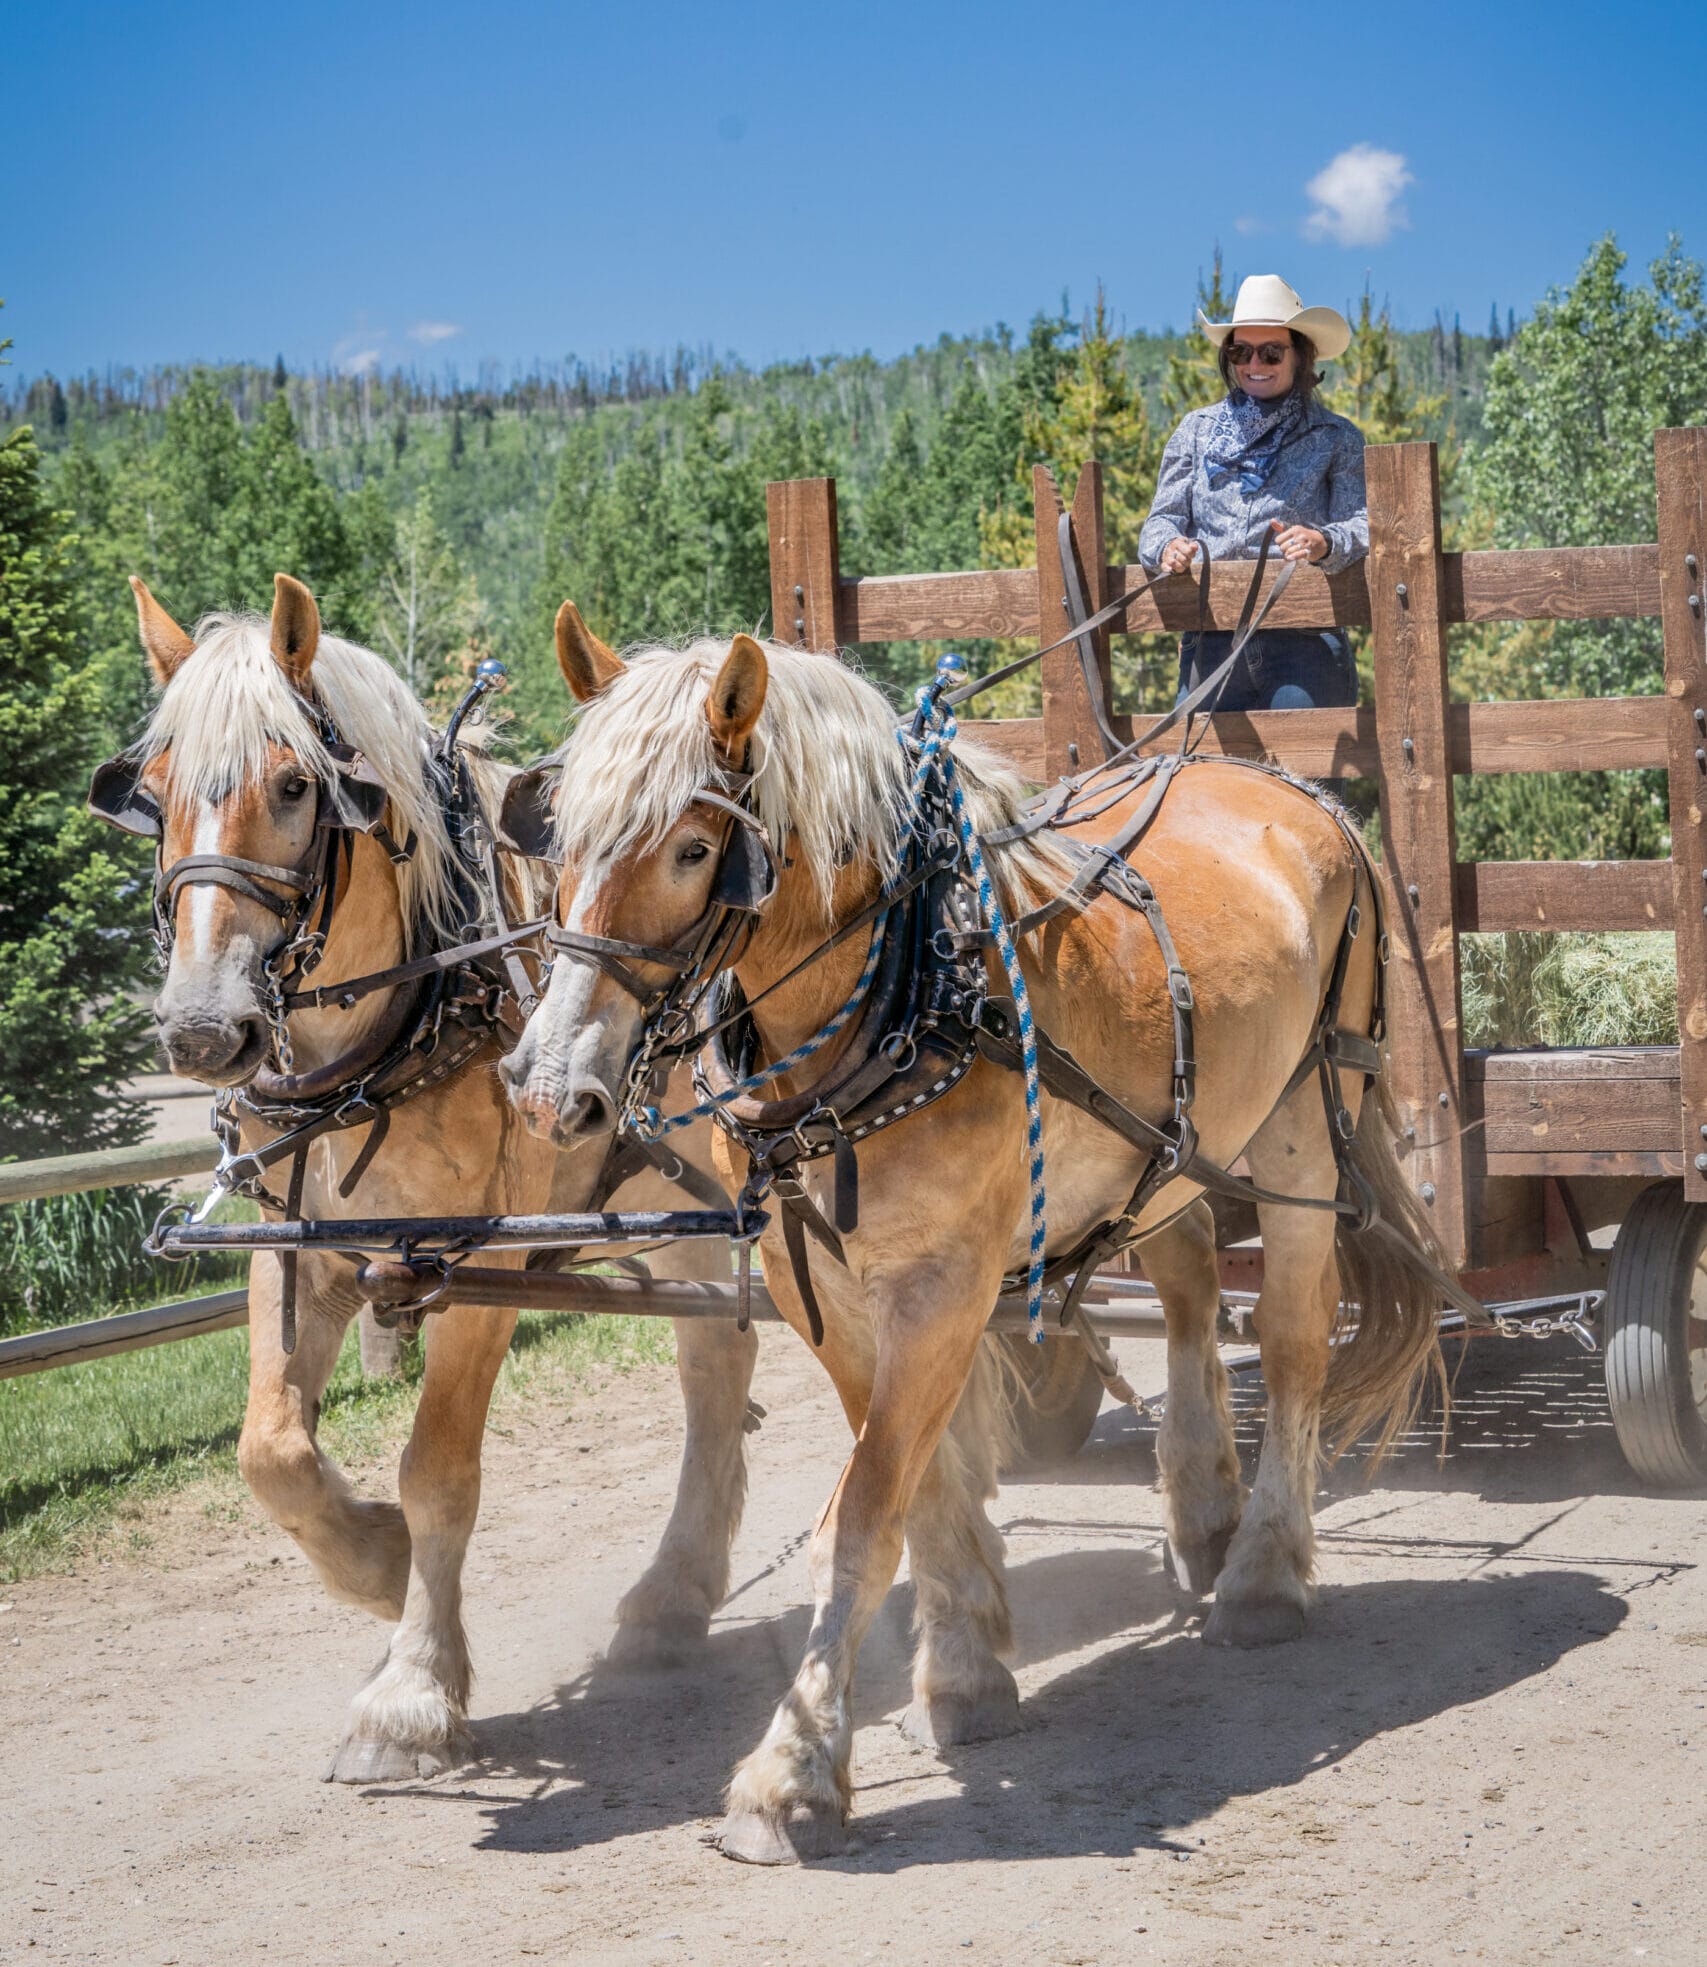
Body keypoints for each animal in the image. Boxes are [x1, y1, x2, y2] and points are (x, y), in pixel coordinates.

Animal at [102, 573, 760, 1781]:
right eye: (154, 793)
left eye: (295, 785)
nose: (204, 1031)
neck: (404, 1021)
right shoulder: (299, 1252)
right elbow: (269, 1448)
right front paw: (377, 1560)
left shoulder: (476, 1260)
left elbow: (438, 1469)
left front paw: (408, 1692)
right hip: (686, 1213)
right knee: (714, 1368)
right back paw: (672, 1595)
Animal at [503, 610, 1447, 1862]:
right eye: (560, 836)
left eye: (696, 850)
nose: (550, 1082)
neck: (910, 993)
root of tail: (1286, 786)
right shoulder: (830, 1292)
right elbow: (922, 1480)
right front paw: (963, 1673)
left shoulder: (945, 1283)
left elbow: (862, 1514)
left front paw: (792, 1768)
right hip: (1174, 1147)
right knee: (1193, 1278)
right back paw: (1204, 1512)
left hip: (1305, 1127)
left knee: (1294, 1337)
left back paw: (1261, 1574)